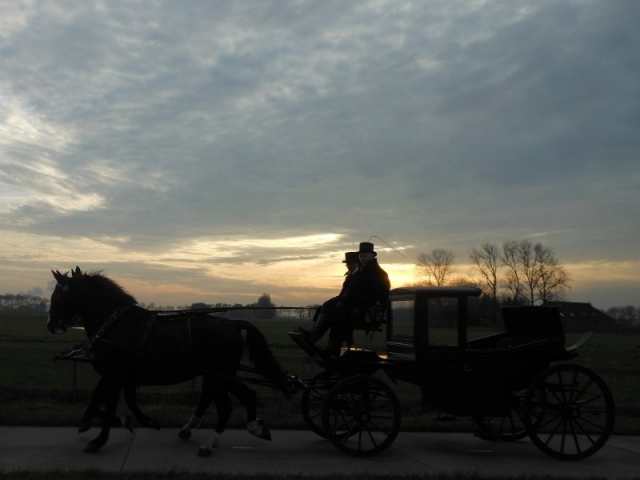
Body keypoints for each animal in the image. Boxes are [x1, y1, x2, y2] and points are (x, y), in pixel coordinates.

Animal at [47, 268, 290, 456]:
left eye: (57, 296)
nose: (51, 325)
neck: (117, 324)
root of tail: (231, 324)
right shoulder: (122, 376)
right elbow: (105, 401)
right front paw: (124, 421)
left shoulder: (114, 375)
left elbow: (106, 404)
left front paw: (99, 439)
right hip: (220, 375)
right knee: (243, 395)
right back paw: (252, 427)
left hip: (219, 375)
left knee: (226, 406)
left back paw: (210, 444)